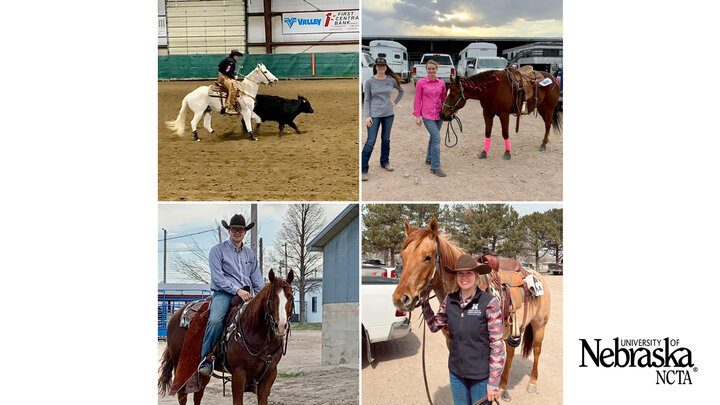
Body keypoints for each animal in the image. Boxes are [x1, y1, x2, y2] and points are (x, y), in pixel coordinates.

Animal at [159, 268, 294, 404]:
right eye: (271, 298)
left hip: (201, 373)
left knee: (198, 395)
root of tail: (176, 314)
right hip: (179, 365)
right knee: (182, 395)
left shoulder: (270, 375)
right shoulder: (238, 374)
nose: (280, 326)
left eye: (291, 297)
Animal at [394, 216, 552, 400]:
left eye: (428, 257)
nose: (400, 299)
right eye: (403, 256)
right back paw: (503, 386)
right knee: (511, 352)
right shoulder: (451, 342)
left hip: (539, 326)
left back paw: (532, 383)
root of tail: (537, 274)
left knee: (537, 350)